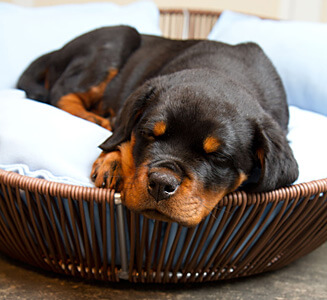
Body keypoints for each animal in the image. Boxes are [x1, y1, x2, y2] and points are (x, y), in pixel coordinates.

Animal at [18, 25, 300, 226]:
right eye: (149, 134)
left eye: (218, 157)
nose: (161, 184)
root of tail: (54, 54)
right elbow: (121, 134)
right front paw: (114, 161)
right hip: (120, 36)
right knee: (61, 92)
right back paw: (95, 118)